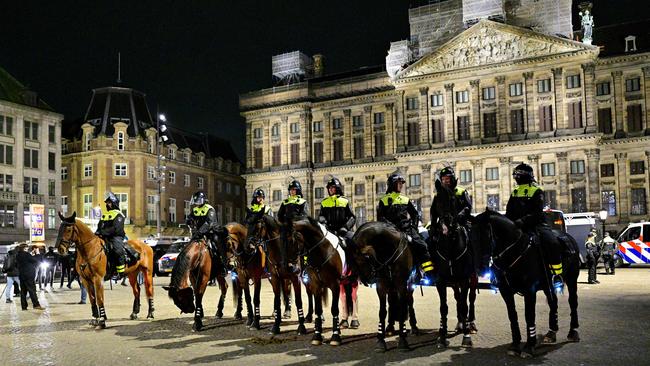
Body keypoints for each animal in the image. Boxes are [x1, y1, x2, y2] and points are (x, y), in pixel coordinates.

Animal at [292, 217, 344, 346]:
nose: (293, 267)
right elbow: (318, 310)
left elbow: (334, 309)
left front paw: (335, 337)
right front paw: (317, 336)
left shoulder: (335, 285)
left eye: (296, 238)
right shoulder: (316, 285)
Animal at [352, 220, 412, 352]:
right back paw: (390, 327)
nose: (365, 280)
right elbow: (382, 311)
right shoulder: (382, 285)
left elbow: (401, 309)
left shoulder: (401, 284)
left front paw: (403, 340)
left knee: (408, 302)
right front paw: (380, 340)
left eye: (364, 258)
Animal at [428, 182, 478, 348]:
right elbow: (444, 307)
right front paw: (442, 335)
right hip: (454, 282)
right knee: (458, 298)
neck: (450, 246)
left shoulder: (464, 279)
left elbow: (464, 305)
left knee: (471, 299)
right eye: (437, 200)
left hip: (472, 277)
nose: (446, 225)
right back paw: (461, 323)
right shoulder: (441, 281)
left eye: (453, 199)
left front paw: (466, 336)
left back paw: (470, 324)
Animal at [468, 209, 580, 358]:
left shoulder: (529, 290)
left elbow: (529, 315)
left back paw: (573, 332)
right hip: (548, 284)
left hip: (572, 279)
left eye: (486, 235)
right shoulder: (505, 291)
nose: (480, 269)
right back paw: (551, 333)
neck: (514, 252)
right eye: (471, 238)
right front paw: (515, 345)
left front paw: (529, 346)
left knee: (573, 302)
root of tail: (568, 237)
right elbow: (512, 315)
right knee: (553, 302)